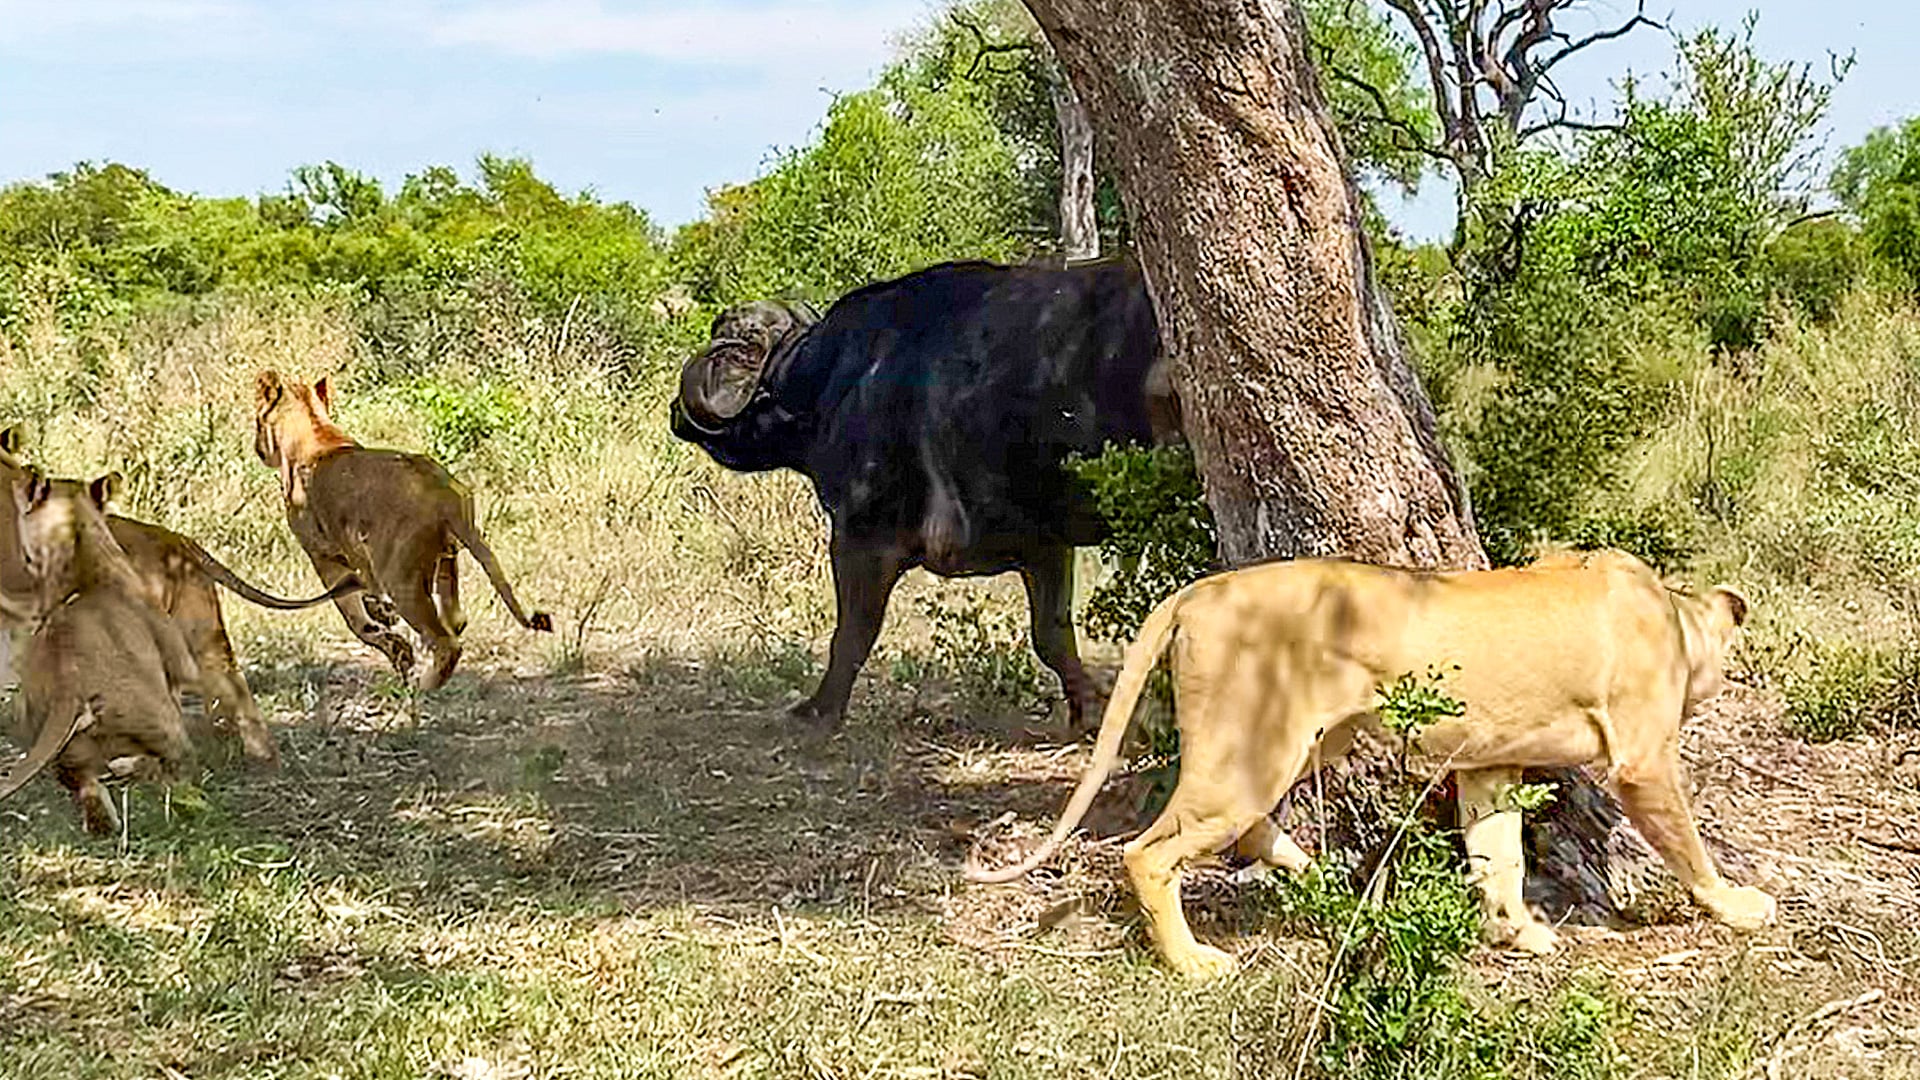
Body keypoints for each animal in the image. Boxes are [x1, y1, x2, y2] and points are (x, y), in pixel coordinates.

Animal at [1, 469, 198, 835]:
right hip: (168, 725)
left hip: (46, 730)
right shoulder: (181, 666)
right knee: (172, 762)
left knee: (78, 777)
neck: (83, 552)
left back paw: (103, 819)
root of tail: (69, 684)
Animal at [253, 371, 552, 689]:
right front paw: (387, 623)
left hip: (399, 575)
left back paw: (423, 686)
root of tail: (444, 494)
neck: (315, 430)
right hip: (445, 557)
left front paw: (387, 632)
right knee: (456, 619)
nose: (257, 450)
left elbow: (354, 616)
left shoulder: (324, 556)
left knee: (447, 642)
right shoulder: (358, 554)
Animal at [670, 259, 1179, 727]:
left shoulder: (863, 538)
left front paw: (819, 711)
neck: (827, 378)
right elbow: (1052, 635)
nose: (678, 407)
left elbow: (852, 633)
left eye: (736, 337)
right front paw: (1089, 712)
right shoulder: (1045, 546)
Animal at [967, 550, 1776, 979]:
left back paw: (1342, 890)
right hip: (1254, 746)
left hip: (1302, 742)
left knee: (1248, 832)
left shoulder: (1488, 764)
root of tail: (1201, 589)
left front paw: (1518, 932)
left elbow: (1499, 855)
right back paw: (1194, 961)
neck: (1675, 609)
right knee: (1150, 852)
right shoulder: (1642, 760)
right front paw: (1738, 905)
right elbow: (1687, 845)